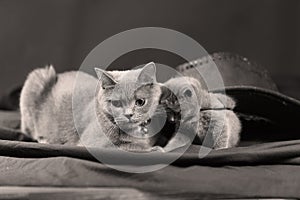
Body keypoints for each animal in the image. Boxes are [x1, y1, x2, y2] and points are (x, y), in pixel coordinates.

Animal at [19, 62, 164, 152]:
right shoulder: (92, 144)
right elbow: (125, 147)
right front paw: (154, 149)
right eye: (116, 103)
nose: (129, 115)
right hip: (37, 78)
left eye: (140, 102)